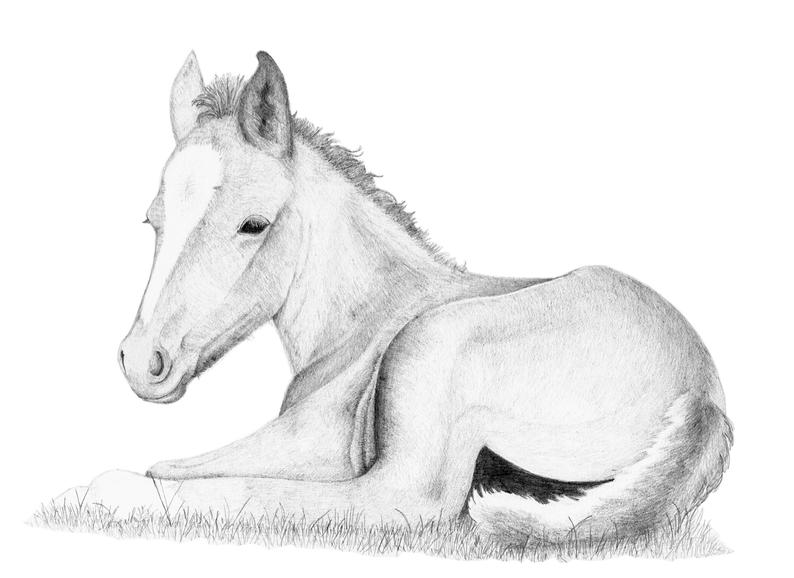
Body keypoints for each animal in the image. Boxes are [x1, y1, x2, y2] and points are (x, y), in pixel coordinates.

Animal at [60, 50, 732, 541]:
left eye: (253, 224)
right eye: (152, 222)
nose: (142, 361)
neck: (364, 323)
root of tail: (703, 395)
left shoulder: (318, 445)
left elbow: (169, 474)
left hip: (432, 349)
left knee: (399, 504)